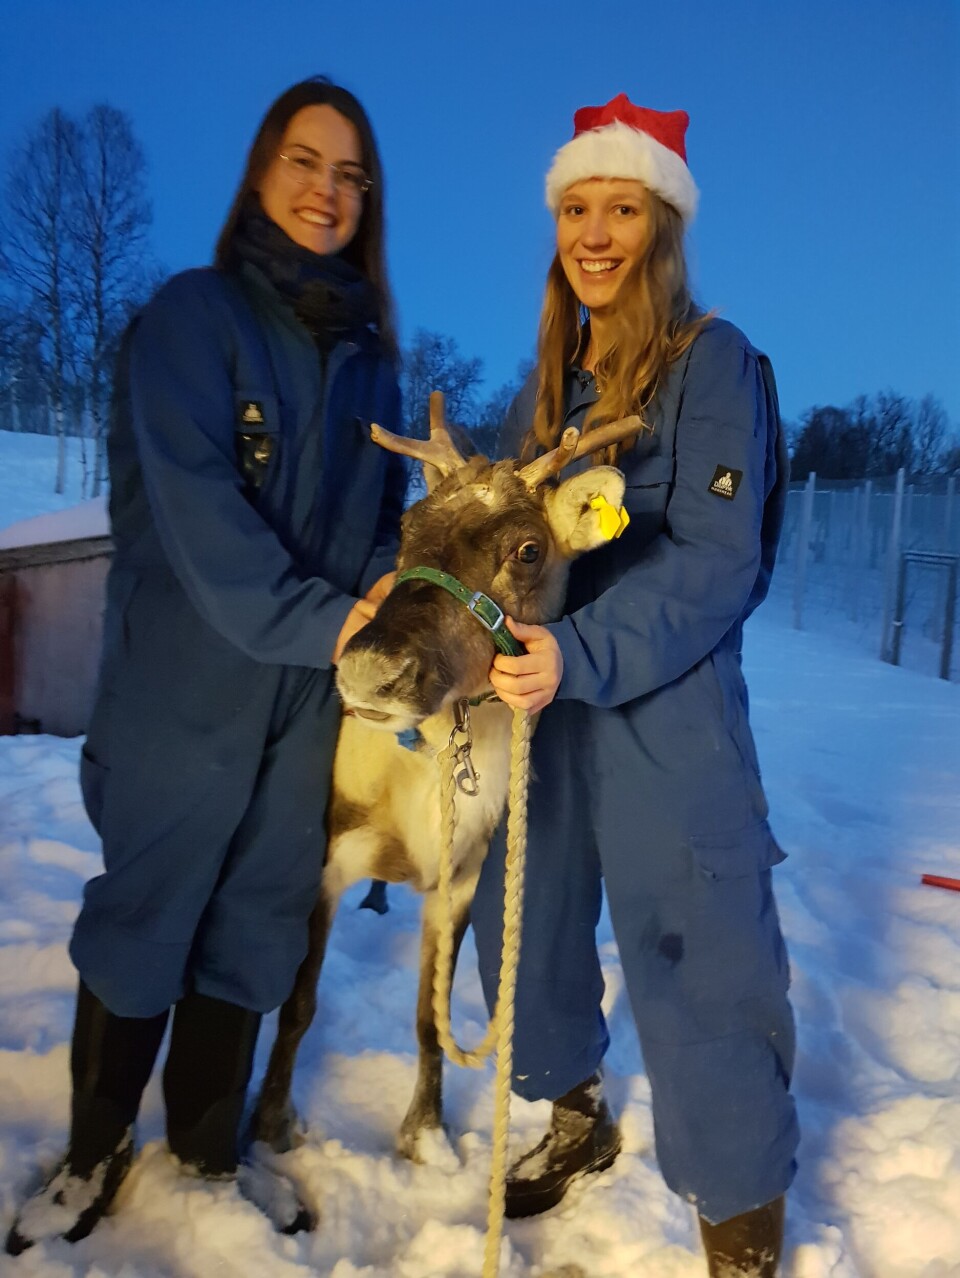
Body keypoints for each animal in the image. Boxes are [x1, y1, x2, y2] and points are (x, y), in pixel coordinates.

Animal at [250, 394, 640, 1162]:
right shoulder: (326, 859)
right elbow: (298, 1002)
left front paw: (425, 1136)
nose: (370, 671)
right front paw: (273, 1124)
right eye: (407, 527)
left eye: (528, 549)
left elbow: (430, 1019)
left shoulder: (457, 882)